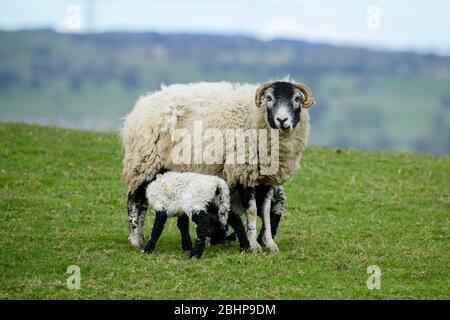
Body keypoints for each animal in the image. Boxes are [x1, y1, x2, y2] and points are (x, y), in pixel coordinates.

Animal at [121, 80, 314, 252]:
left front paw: (270, 243)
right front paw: (253, 245)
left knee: (143, 202)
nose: (282, 120)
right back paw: (136, 240)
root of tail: (141, 104)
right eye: (269, 98)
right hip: (145, 161)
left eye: (297, 99)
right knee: (134, 199)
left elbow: (265, 211)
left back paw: (141, 238)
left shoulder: (265, 179)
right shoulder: (243, 172)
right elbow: (252, 211)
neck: (254, 115)